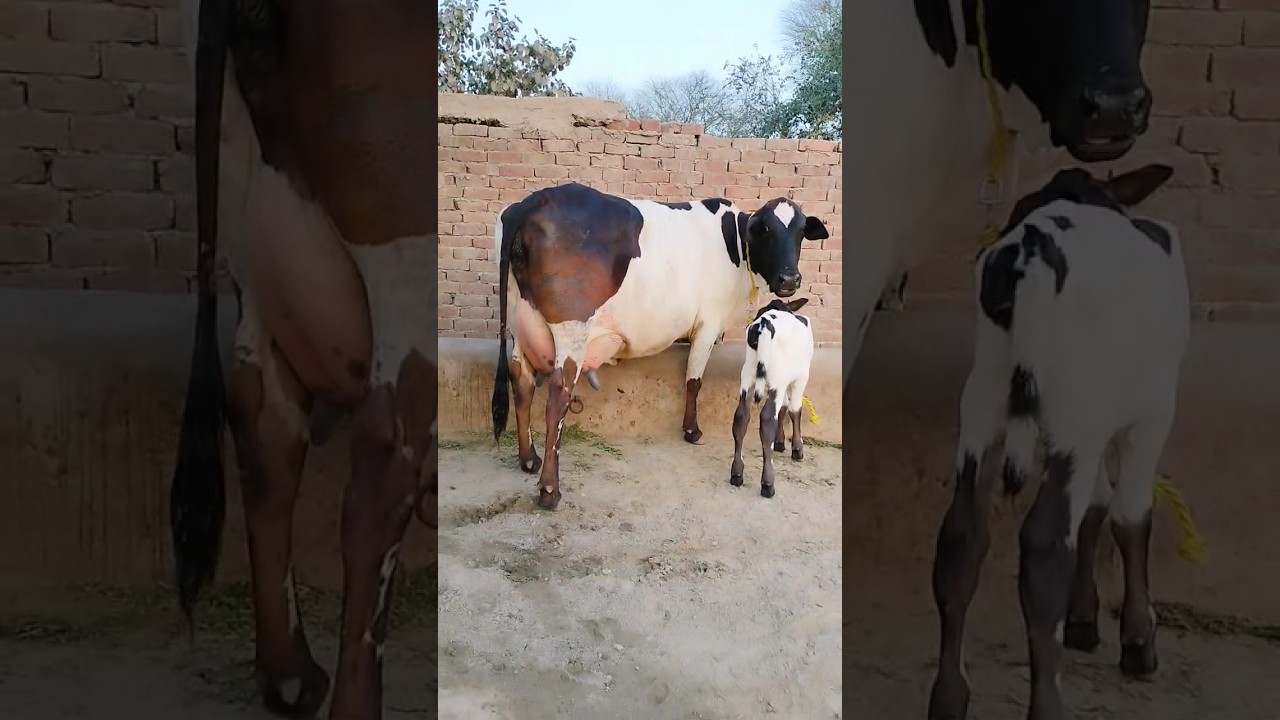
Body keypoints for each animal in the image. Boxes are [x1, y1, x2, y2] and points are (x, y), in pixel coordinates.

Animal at [170, 1, 437, 718]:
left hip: (254, 259)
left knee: (262, 427)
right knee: (383, 463)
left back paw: (290, 675)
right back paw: (350, 700)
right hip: (405, 243)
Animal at [729, 297, 815, 498]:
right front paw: (797, 448)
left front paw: (780, 442)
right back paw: (768, 483)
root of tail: (763, 324)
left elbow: (783, 407)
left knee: (741, 416)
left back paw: (737, 473)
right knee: (767, 418)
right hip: (778, 376)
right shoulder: (801, 377)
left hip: (748, 374)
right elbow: (794, 408)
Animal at [927, 163, 1187, 720]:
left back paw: (950, 696)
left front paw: (1086, 619)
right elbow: (1130, 514)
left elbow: (1096, 509)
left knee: (962, 536)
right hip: (1076, 410)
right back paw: (1047, 703)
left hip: (983, 401)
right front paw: (1138, 639)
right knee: (1045, 547)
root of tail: (1032, 249)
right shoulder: (1152, 411)